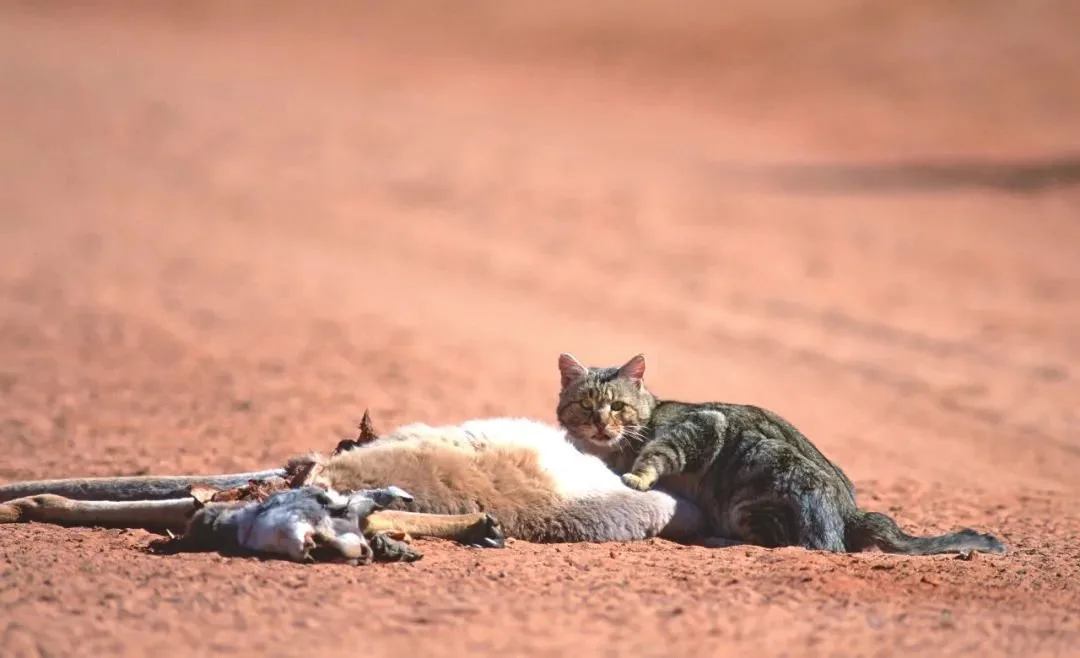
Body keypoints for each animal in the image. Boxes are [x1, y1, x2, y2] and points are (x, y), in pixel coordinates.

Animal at [557, 350, 1002, 553]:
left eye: (617, 406)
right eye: (585, 406)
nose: (600, 423)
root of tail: (852, 514)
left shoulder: (704, 426)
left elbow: (658, 452)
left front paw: (636, 475)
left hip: (757, 477)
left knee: (790, 543)